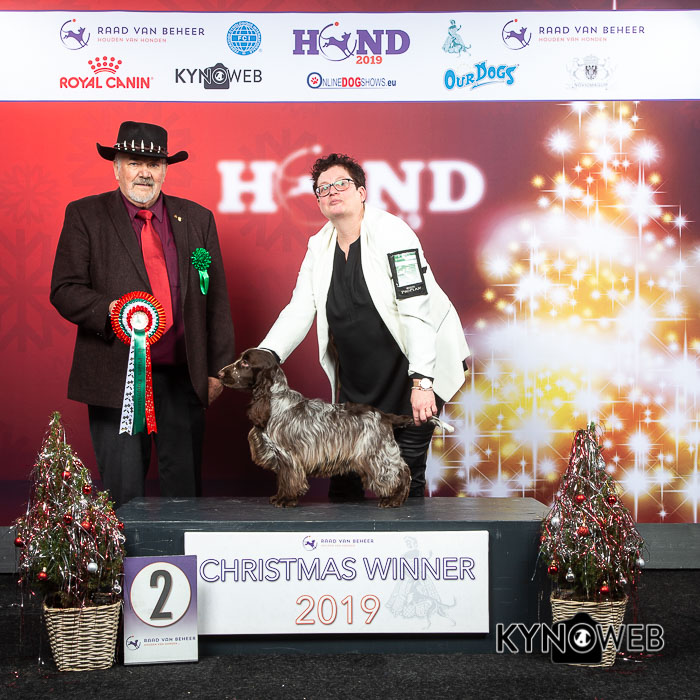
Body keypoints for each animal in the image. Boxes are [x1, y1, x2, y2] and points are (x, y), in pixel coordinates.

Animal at [219, 348, 450, 508]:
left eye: (245, 363)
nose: (220, 373)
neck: (274, 401)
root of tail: (384, 415)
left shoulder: (288, 455)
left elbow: (289, 479)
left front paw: (286, 500)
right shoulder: (281, 456)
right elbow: (283, 479)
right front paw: (279, 497)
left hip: (376, 454)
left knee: (402, 472)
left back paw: (393, 500)